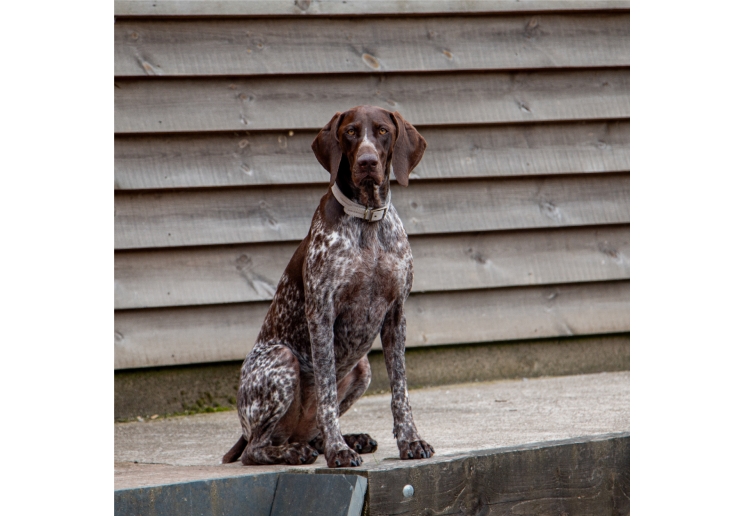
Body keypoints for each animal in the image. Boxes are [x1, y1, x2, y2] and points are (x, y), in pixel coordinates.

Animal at [221, 105, 434, 468]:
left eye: (382, 131)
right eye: (350, 132)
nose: (367, 161)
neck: (366, 220)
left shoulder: (396, 315)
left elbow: (401, 392)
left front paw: (410, 441)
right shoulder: (322, 314)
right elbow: (327, 397)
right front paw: (338, 451)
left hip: (362, 368)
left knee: (308, 433)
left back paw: (347, 439)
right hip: (281, 361)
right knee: (256, 449)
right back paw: (296, 451)